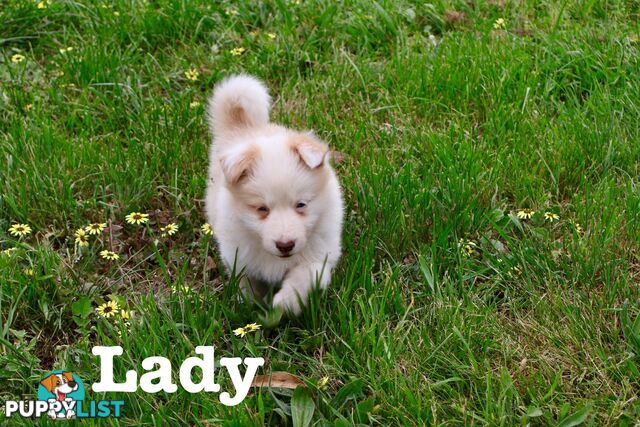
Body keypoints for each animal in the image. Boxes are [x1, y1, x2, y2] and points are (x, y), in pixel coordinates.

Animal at [205, 75, 344, 316]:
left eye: (301, 204)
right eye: (262, 209)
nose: (285, 245)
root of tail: (244, 127)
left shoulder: (320, 256)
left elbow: (304, 276)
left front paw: (285, 303)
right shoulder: (239, 257)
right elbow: (247, 284)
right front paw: (249, 307)